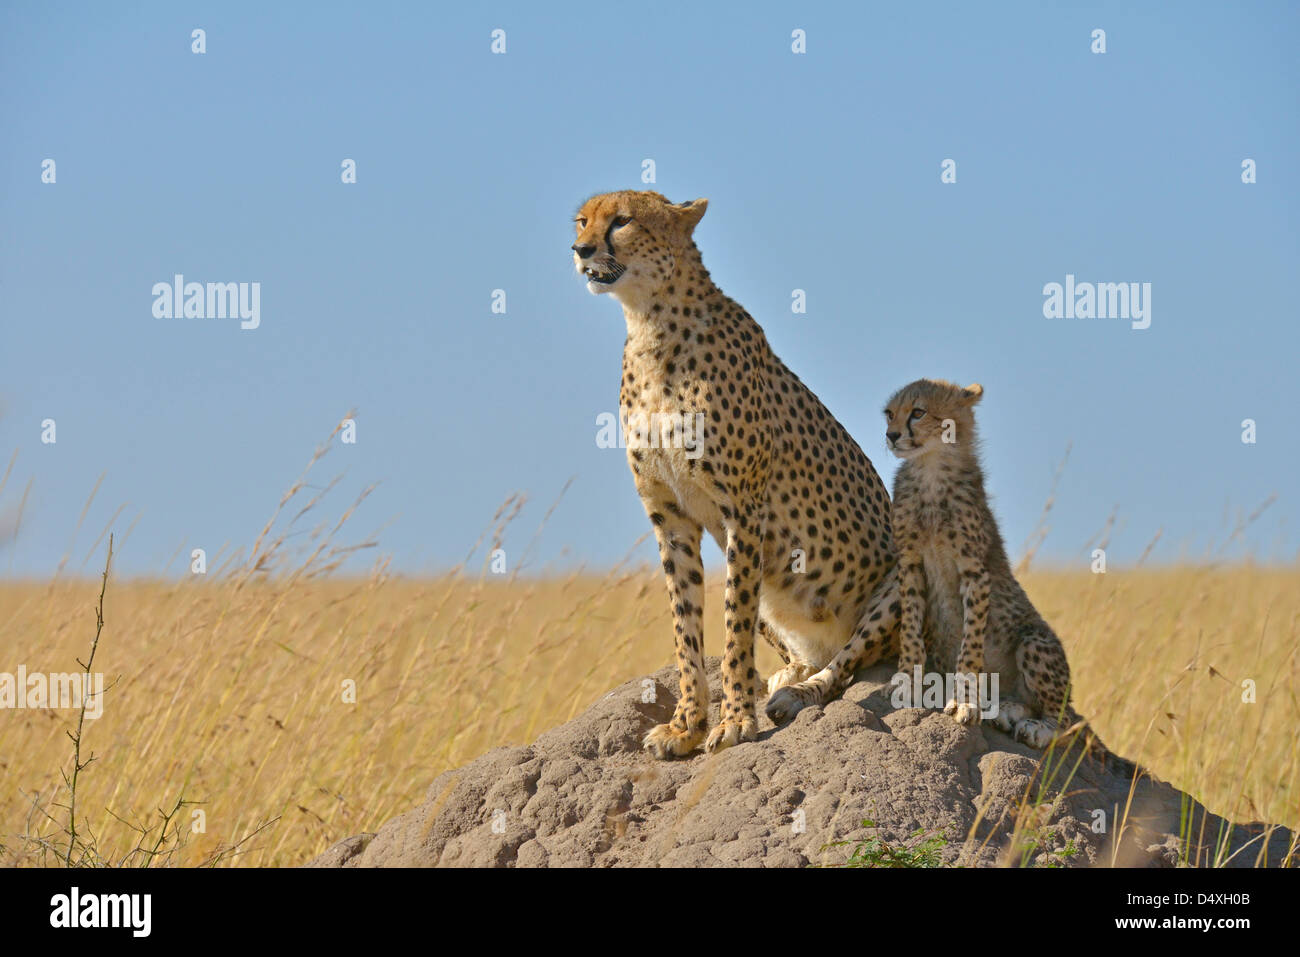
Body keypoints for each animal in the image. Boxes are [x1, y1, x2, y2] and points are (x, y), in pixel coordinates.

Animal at [574, 188, 899, 754]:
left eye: (622, 221)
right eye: (581, 220)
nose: (581, 249)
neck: (649, 323)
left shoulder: (744, 510)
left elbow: (733, 622)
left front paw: (734, 721)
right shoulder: (670, 517)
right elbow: (686, 627)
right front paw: (686, 725)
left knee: (847, 664)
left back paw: (798, 694)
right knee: (806, 654)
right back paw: (787, 675)